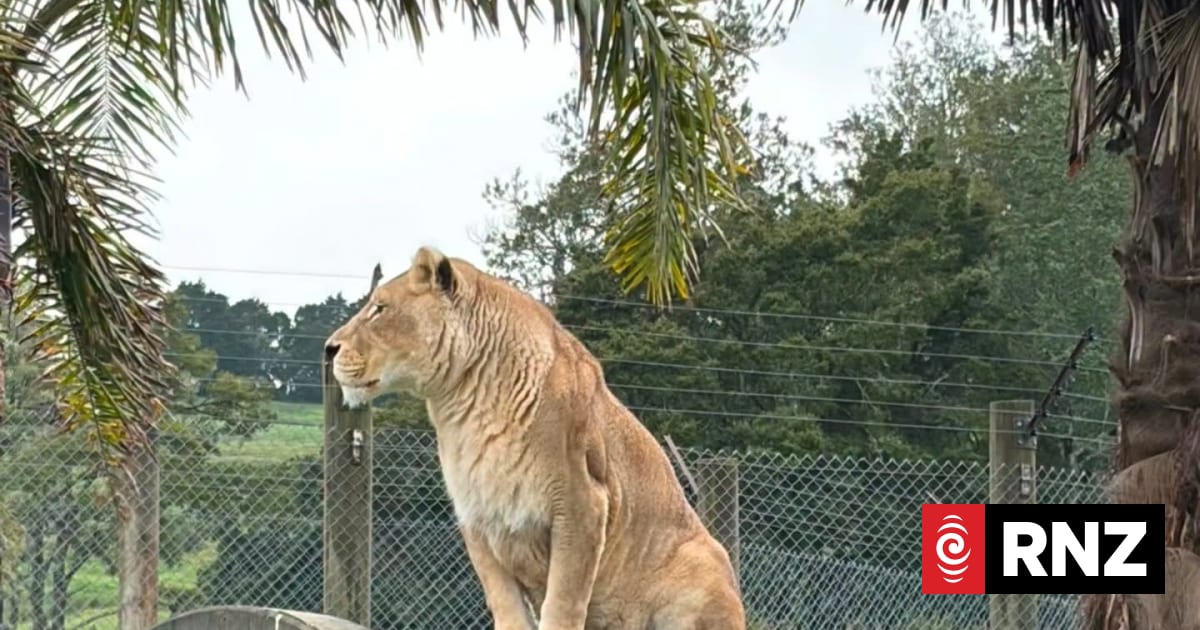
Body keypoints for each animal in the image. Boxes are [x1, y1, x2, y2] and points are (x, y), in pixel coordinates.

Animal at [324, 246, 746, 630]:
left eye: (379, 309)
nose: (328, 348)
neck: (465, 402)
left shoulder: (582, 505)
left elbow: (562, 604)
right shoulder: (477, 517)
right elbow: (506, 605)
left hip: (702, 560)